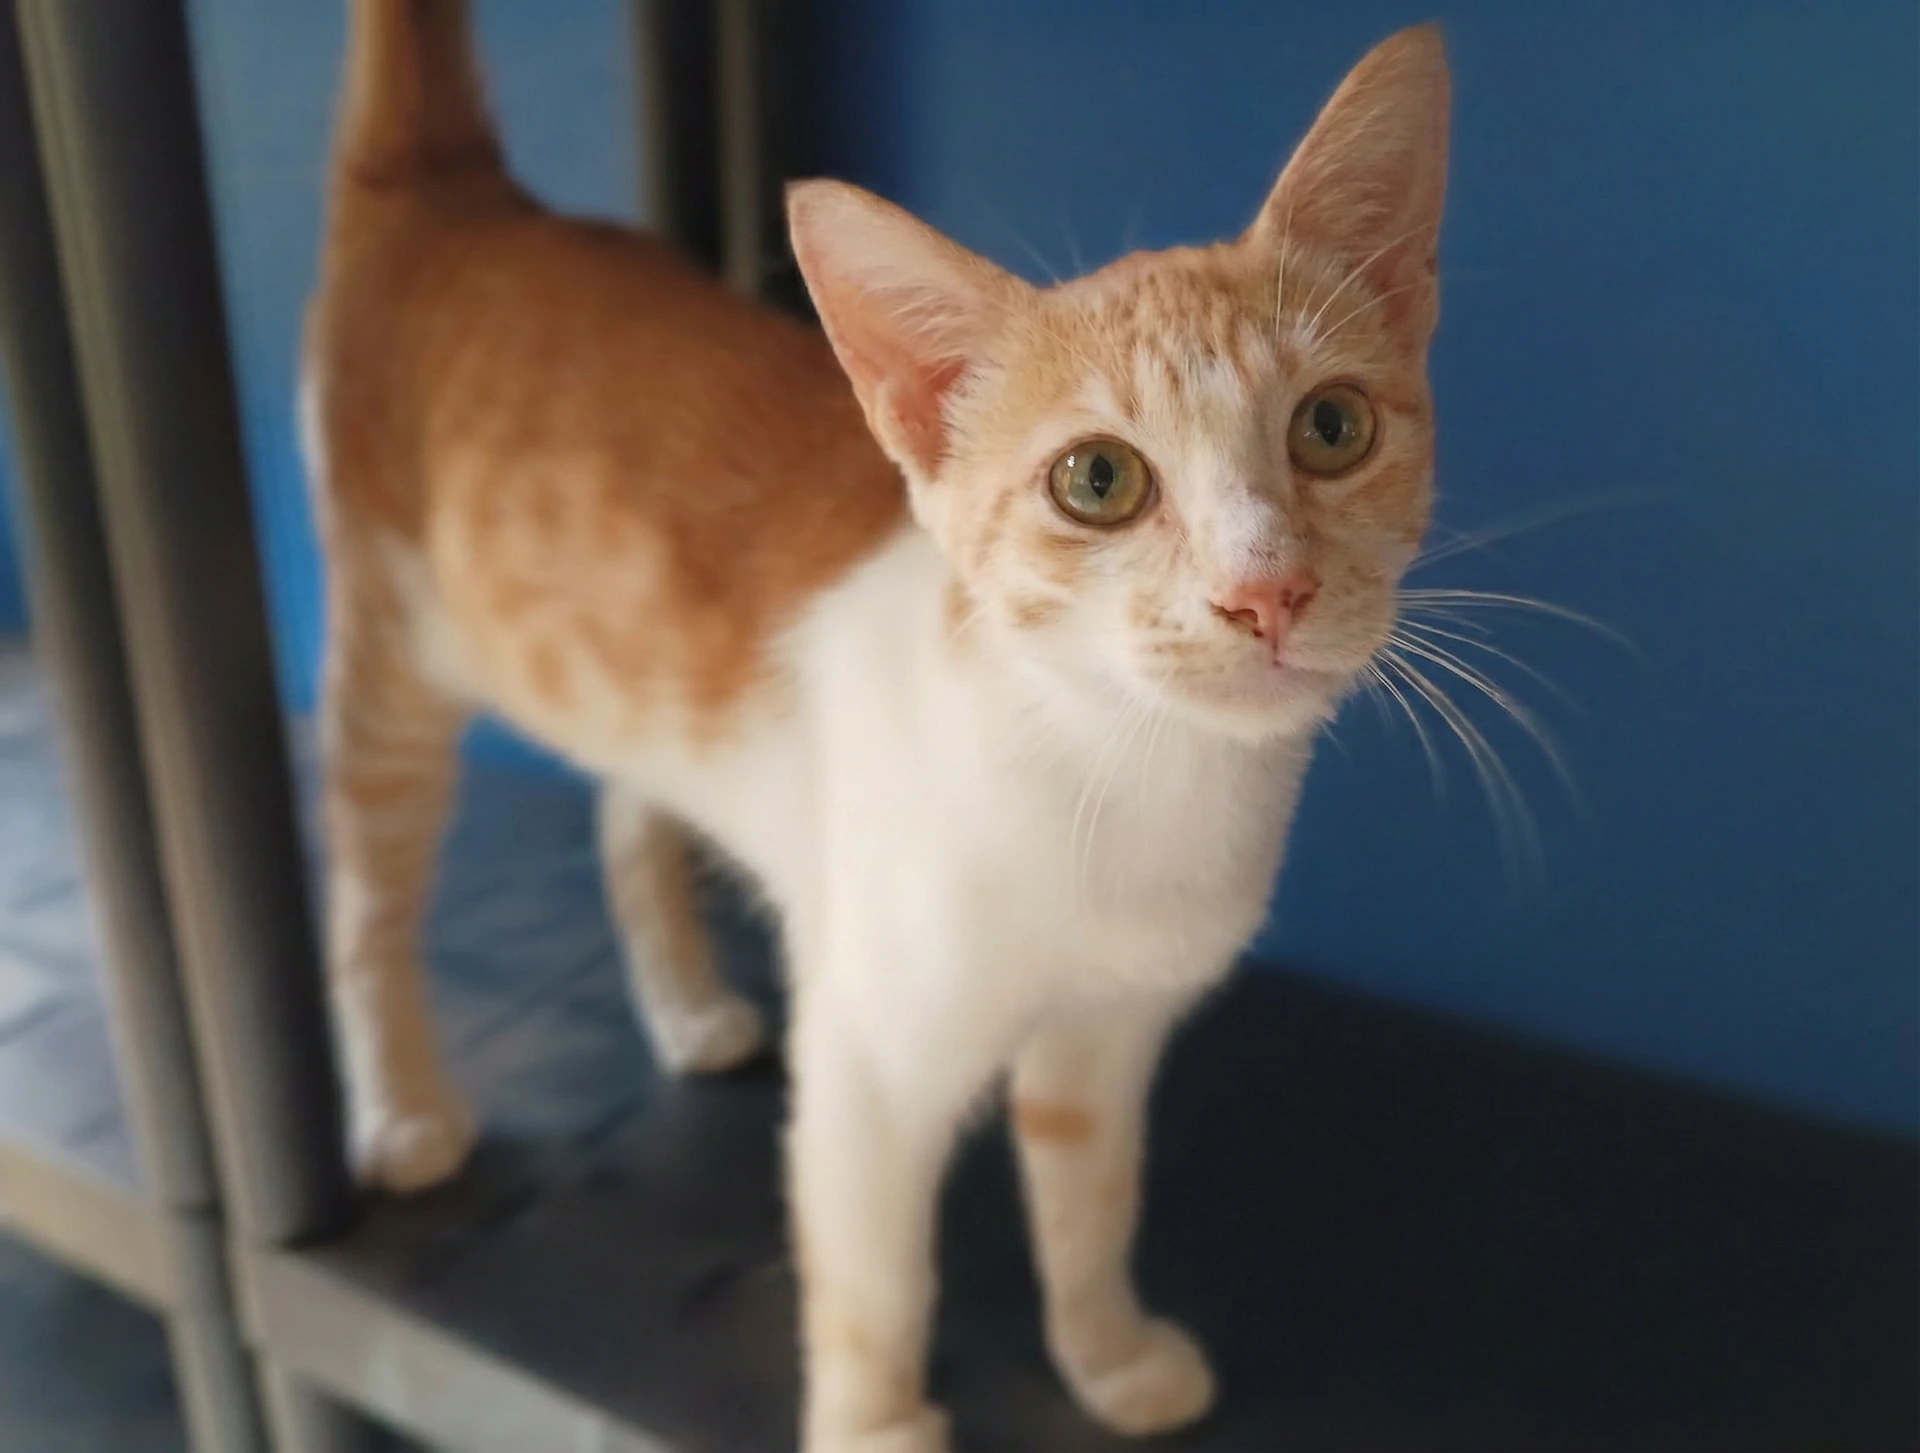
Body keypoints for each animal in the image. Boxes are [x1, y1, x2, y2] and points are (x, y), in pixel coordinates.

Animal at [305, 3, 1447, 1447]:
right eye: (1098, 480)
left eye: (1333, 426)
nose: (1268, 591)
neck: (1118, 772)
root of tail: (464, 197)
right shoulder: (866, 1057)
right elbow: (872, 1274)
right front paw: (874, 1421)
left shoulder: (1108, 1036)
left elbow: (1089, 1201)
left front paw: (1108, 1355)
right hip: (386, 659)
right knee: (367, 895)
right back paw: (403, 1107)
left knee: (626, 803)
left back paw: (684, 1005)